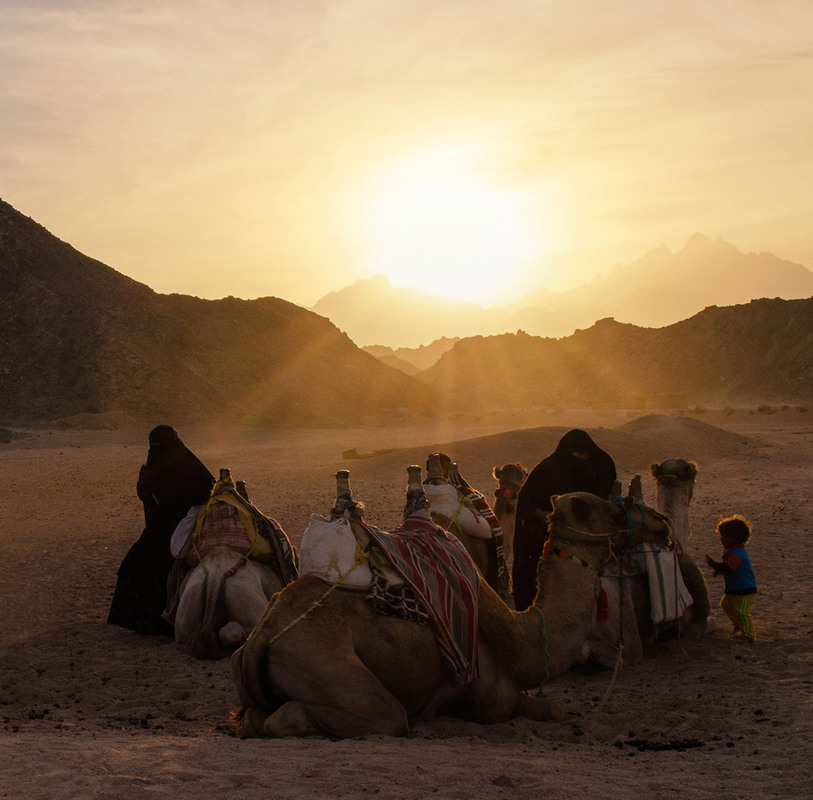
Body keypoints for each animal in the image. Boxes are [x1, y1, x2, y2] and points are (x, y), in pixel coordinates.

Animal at [230, 468, 672, 736]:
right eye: (614, 512)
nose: (661, 523)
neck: (526, 632)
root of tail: (261, 637)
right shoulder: (491, 690)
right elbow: (545, 709)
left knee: (255, 716)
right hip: (328, 669)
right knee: (376, 715)